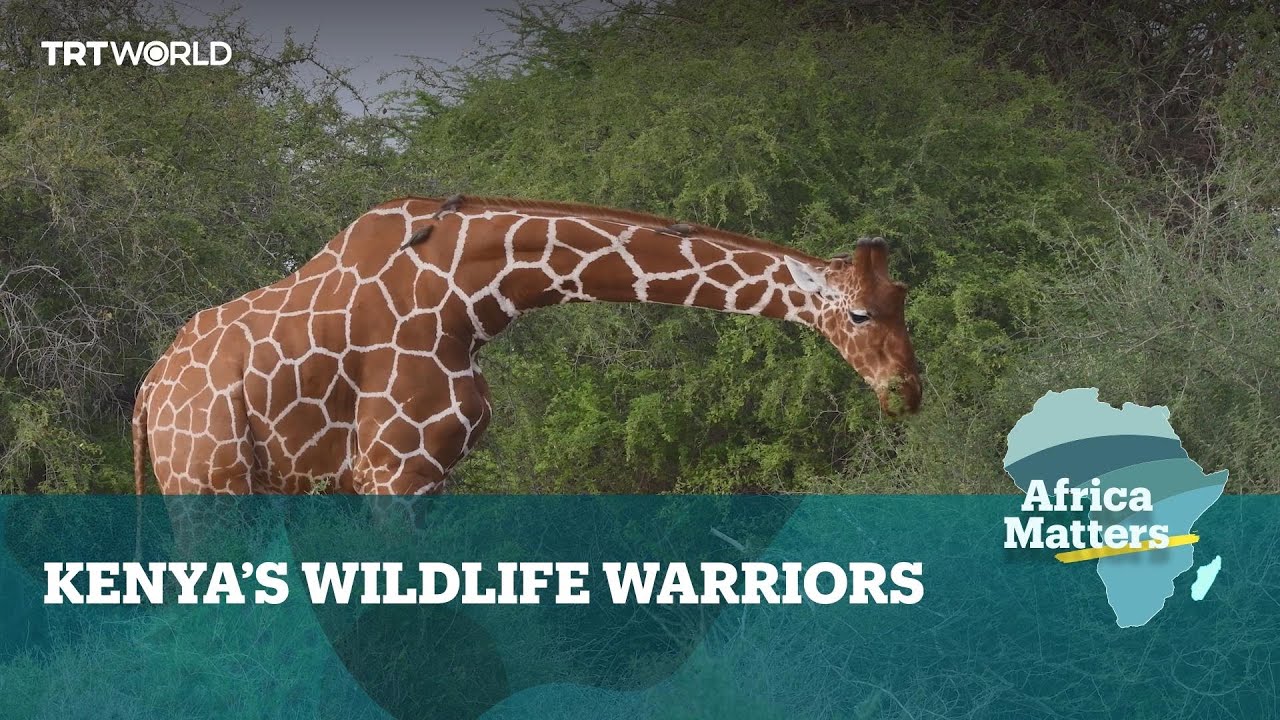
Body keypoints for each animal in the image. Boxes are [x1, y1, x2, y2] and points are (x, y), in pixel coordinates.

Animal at [132, 195, 920, 495]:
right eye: (858, 314)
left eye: (903, 299)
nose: (908, 390)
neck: (473, 296)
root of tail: (147, 395)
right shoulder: (392, 471)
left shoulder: (428, 473)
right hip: (209, 483)